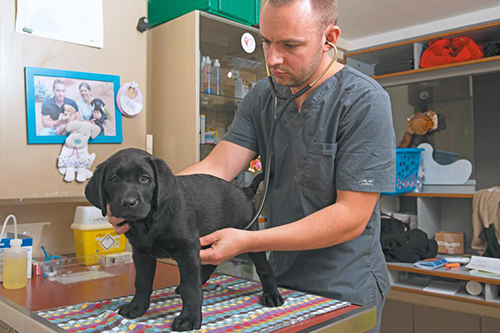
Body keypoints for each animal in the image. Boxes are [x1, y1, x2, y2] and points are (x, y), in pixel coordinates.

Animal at [84, 149, 284, 330]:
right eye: (113, 179)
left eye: (145, 178)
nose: (128, 202)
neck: (150, 220)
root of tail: (244, 190)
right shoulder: (142, 254)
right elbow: (142, 282)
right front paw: (137, 306)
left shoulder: (187, 250)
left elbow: (190, 288)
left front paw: (189, 318)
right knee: (209, 265)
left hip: (248, 235)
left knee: (264, 268)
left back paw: (272, 295)